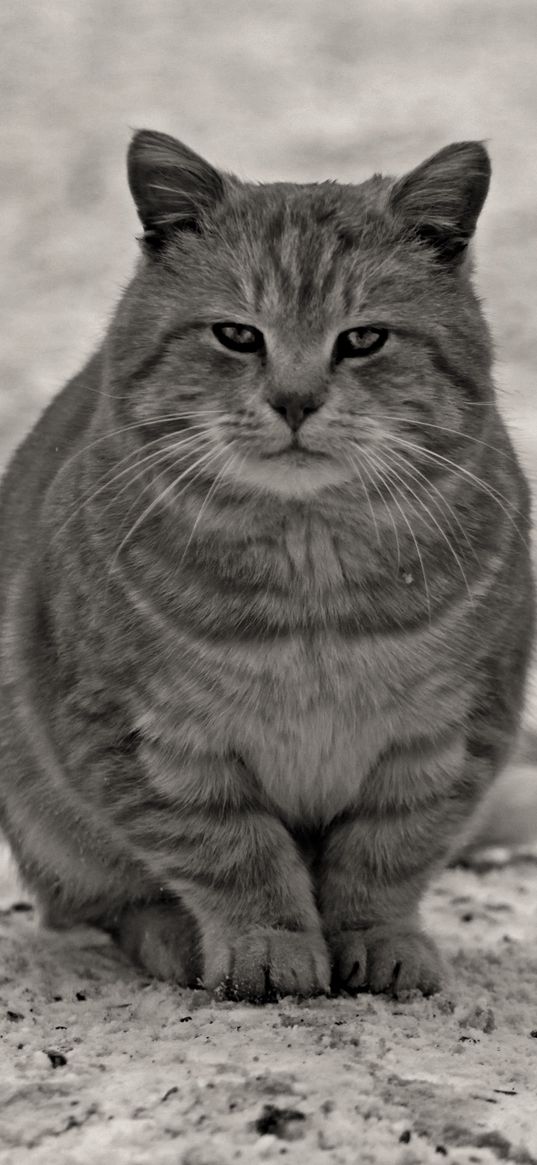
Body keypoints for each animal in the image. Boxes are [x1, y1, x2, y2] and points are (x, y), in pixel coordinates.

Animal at [0, 129, 531, 1001]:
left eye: (362, 339)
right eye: (238, 335)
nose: (294, 399)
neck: (311, 578)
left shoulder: (446, 735)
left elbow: (384, 856)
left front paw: (378, 938)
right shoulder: (152, 741)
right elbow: (234, 852)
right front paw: (268, 942)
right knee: (102, 906)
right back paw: (170, 936)